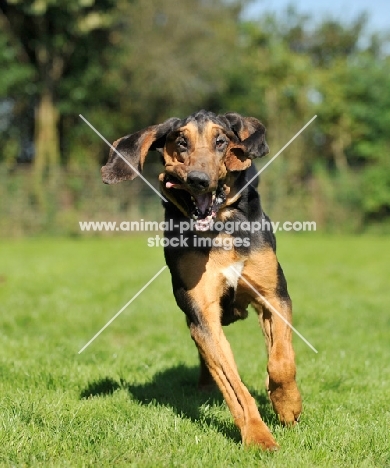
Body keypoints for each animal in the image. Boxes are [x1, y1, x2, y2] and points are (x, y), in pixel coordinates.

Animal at [100, 109, 302, 450]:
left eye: (221, 141)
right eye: (181, 142)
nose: (198, 180)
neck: (220, 226)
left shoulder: (274, 295)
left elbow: (281, 361)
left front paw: (288, 405)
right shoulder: (202, 312)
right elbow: (234, 385)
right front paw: (258, 437)